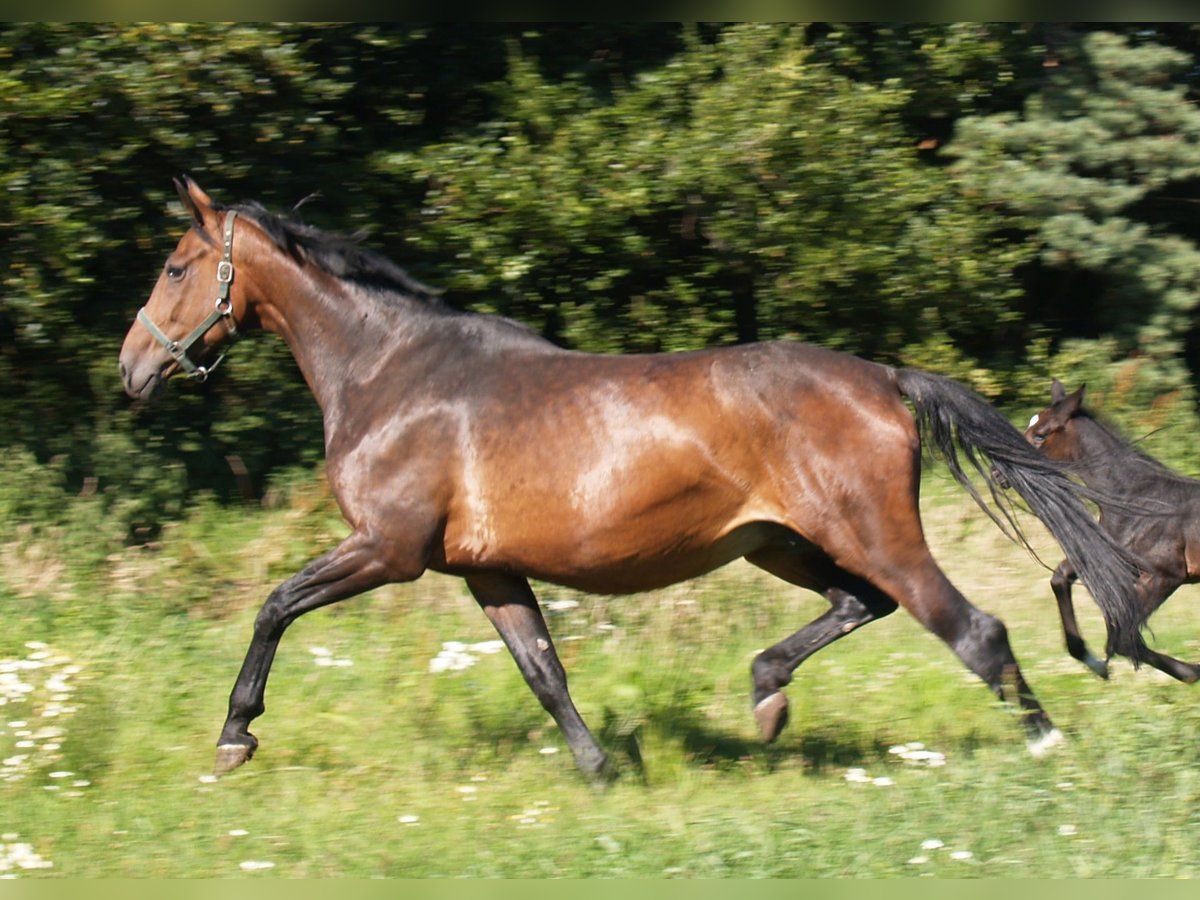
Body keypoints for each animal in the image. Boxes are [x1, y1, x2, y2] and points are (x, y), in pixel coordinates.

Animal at [121, 177, 1142, 782]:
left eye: (174, 266)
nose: (132, 369)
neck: (392, 372)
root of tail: (885, 378)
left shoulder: (388, 549)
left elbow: (274, 607)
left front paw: (235, 736)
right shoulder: (485, 569)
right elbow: (543, 670)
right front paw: (603, 769)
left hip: (868, 533)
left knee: (969, 628)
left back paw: (1047, 745)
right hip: (782, 544)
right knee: (863, 606)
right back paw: (766, 699)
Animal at [1022, 381, 1200, 681]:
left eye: (1040, 435)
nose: (997, 473)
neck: (1131, 499)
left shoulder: (1165, 576)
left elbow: (1123, 639)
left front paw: (1193, 672)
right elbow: (1060, 579)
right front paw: (1089, 658)